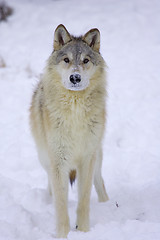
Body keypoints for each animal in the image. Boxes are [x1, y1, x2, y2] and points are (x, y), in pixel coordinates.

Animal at [29, 24, 109, 238]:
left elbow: (84, 200)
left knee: (99, 182)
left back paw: (107, 204)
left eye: (85, 61)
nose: (75, 77)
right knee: (52, 187)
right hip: (45, 159)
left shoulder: (87, 158)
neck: (75, 111)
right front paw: (63, 235)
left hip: (97, 156)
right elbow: (61, 204)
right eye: (66, 60)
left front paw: (84, 231)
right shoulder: (58, 161)